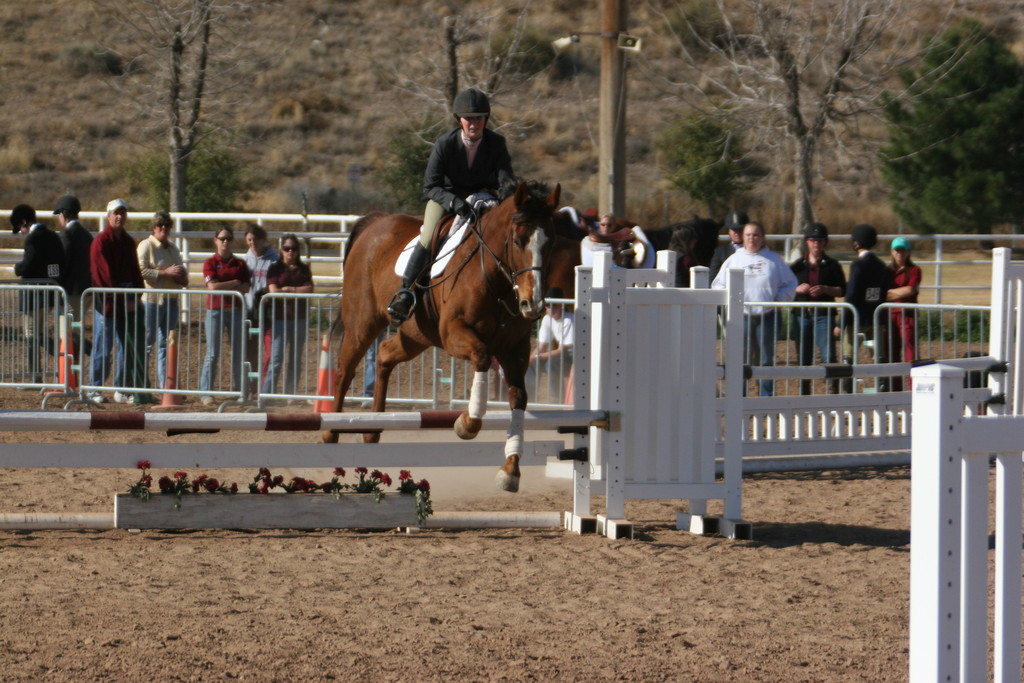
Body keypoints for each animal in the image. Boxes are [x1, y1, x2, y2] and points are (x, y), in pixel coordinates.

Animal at [321, 181, 569, 491]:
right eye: (517, 241)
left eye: (551, 243)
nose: (532, 305)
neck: (496, 282)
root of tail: (375, 223)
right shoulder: (454, 334)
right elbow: (482, 357)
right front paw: (468, 423)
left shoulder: (516, 350)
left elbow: (519, 397)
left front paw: (510, 471)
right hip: (363, 324)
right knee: (345, 369)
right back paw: (331, 432)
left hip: (416, 335)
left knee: (385, 354)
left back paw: (373, 428)